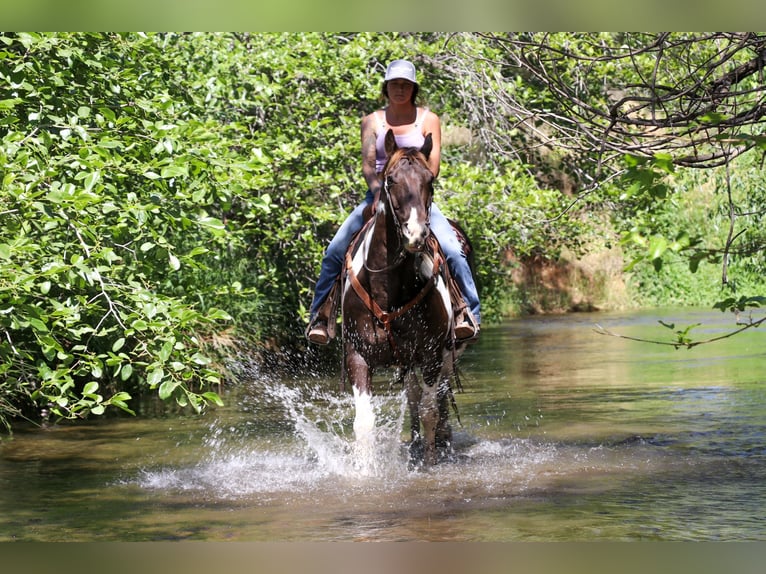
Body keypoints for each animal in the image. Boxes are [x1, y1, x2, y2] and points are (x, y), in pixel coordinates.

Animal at [341, 129, 465, 467]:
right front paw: (365, 470)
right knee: (412, 395)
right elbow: (364, 421)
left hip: (447, 353)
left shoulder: (432, 353)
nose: (415, 234)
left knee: (436, 397)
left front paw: (430, 461)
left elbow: (430, 409)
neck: (387, 291)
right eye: (391, 179)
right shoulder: (357, 355)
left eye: (430, 180)